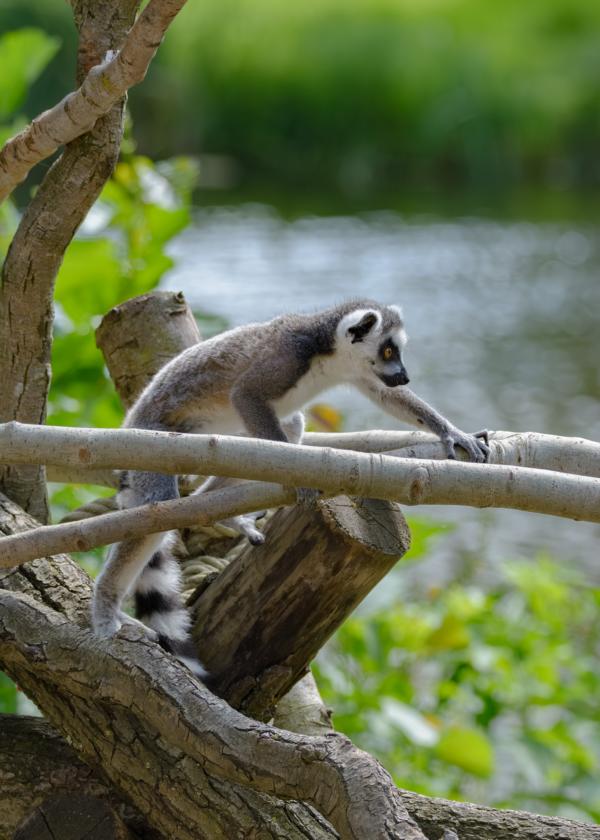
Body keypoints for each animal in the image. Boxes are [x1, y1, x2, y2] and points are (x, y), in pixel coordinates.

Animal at [92, 299, 489, 676]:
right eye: (390, 350)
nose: (405, 376)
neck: (327, 351)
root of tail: (132, 421)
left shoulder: (363, 373)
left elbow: (388, 397)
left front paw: (451, 432)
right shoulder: (284, 359)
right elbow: (245, 393)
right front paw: (298, 476)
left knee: (282, 430)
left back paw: (222, 513)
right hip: (152, 443)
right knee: (162, 498)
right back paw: (105, 604)